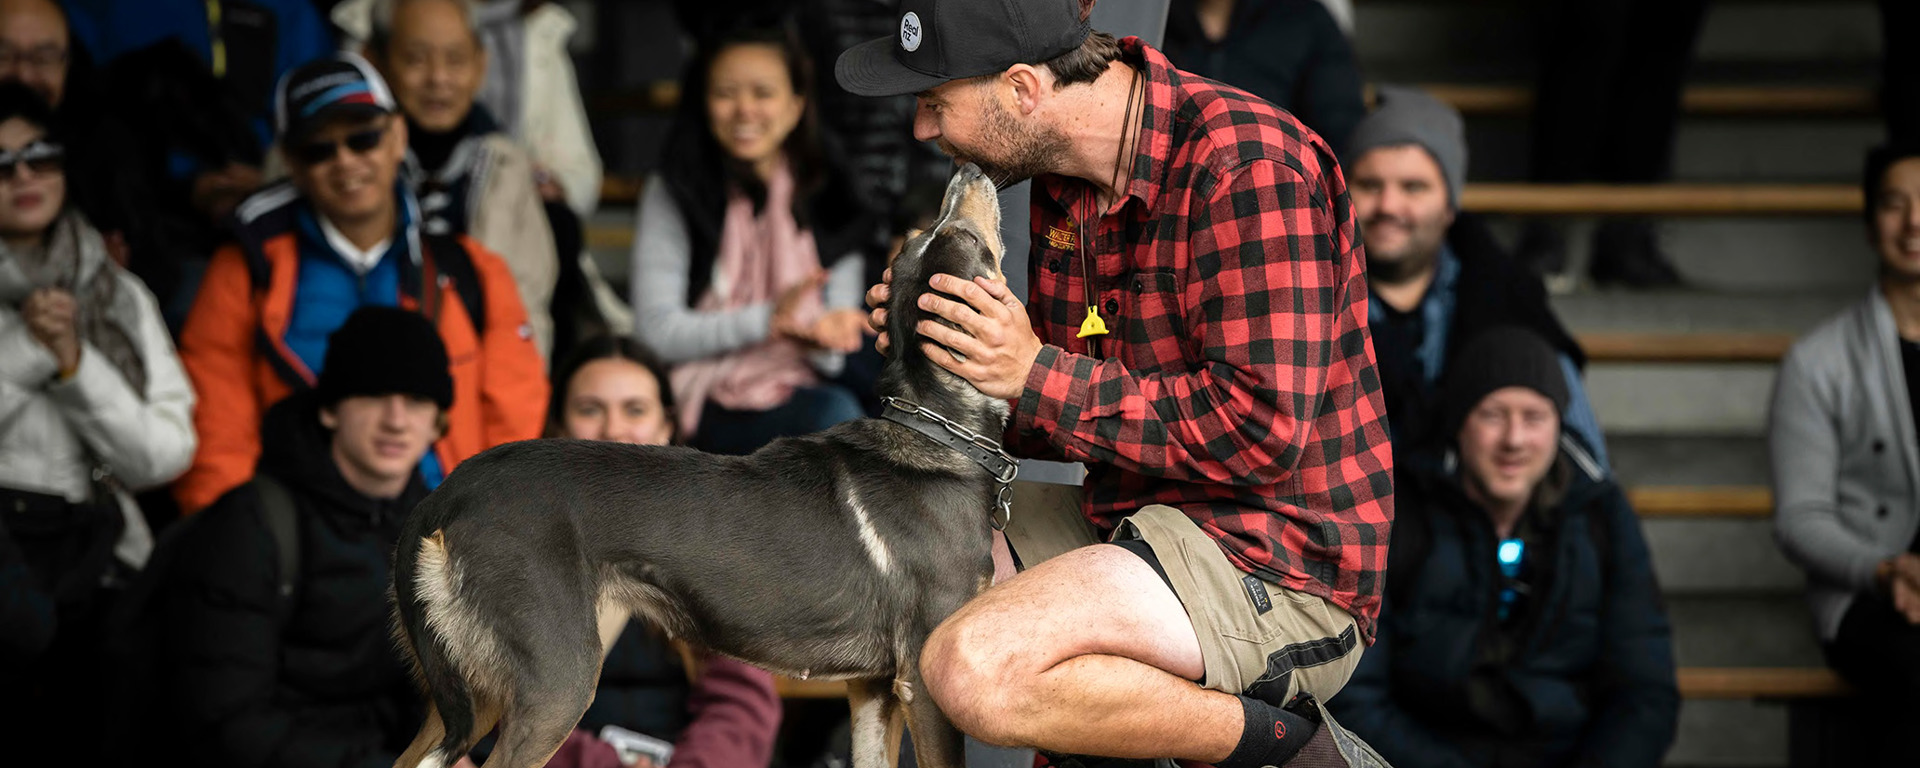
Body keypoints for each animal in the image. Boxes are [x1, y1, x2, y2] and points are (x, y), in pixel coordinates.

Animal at [393, 163, 1021, 768]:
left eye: (924, 236)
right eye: (965, 240)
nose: (968, 167)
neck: (935, 427)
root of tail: (444, 495)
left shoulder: (872, 688)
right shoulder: (925, 678)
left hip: (472, 690)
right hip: (555, 683)